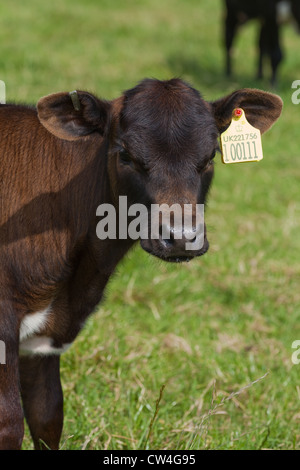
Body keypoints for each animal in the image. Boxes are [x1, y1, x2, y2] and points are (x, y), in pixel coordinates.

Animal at [0, 78, 282, 448]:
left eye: (210, 157)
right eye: (126, 155)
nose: (181, 236)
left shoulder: (44, 339)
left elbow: (47, 415)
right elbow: (10, 422)